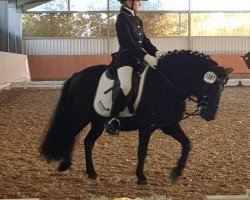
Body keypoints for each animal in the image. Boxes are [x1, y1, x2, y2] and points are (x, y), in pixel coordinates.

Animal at [40, 49, 233, 184]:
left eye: (223, 87)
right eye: (208, 85)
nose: (210, 114)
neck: (166, 84)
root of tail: (77, 75)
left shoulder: (169, 125)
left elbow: (187, 144)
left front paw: (176, 173)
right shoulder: (146, 126)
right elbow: (142, 151)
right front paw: (141, 177)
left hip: (97, 121)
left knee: (88, 142)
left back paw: (92, 173)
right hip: (79, 116)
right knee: (69, 133)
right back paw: (65, 164)